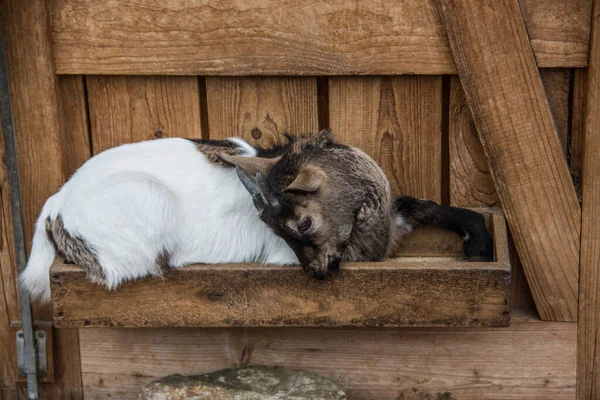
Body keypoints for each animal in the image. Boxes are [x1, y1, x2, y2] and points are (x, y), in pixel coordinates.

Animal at [19, 131, 492, 304]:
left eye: (303, 225)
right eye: (286, 234)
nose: (316, 274)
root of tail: (57, 203)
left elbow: (420, 205)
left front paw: (479, 242)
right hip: (145, 201)